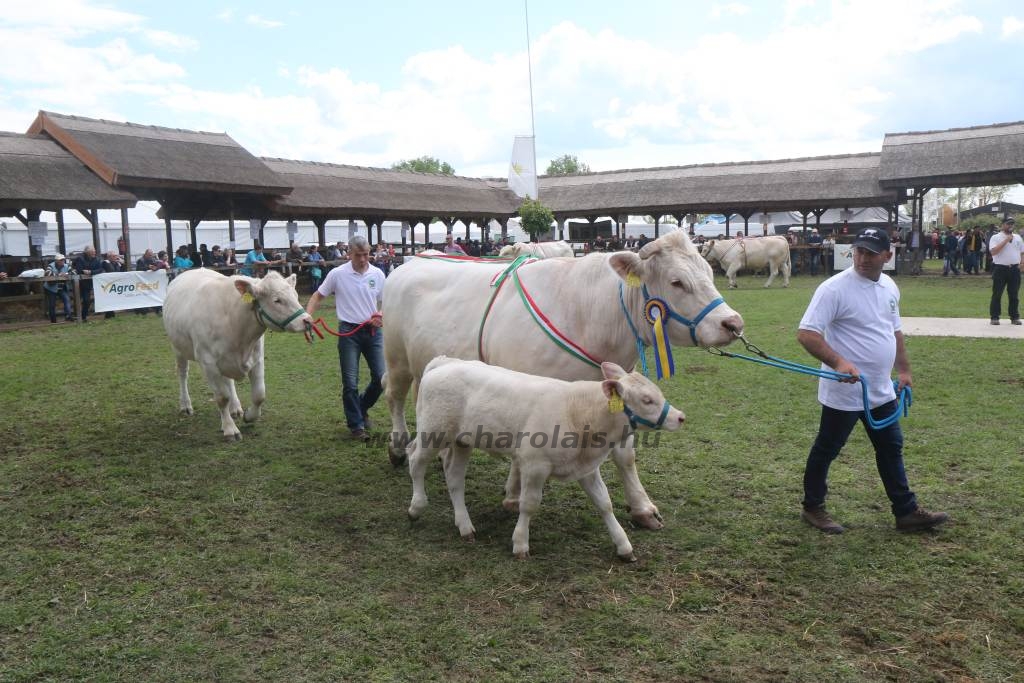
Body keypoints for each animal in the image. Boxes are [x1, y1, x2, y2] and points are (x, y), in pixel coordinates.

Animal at [159, 270, 309, 440]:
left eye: (296, 295)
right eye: (277, 300)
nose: (307, 320)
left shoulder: (257, 359)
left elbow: (259, 395)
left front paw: (250, 416)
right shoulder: (208, 363)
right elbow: (222, 398)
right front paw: (230, 429)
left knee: (228, 381)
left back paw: (235, 407)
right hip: (178, 349)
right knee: (183, 374)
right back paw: (185, 405)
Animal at [385, 229, 745, 528]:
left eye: (710, 272)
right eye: (676, 282)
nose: (733, 323)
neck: (588, 315)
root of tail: (414, 260)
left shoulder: (619, 396)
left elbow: (625, 455)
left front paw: (642, 508)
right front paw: (514, 494)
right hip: (396, 358)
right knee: (395, 398)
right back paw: (398, 447)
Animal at [403, 358, 684, 561]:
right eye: (647, 400)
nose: (680, 417)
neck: (577, 410)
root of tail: (443, 362)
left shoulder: (586, 468)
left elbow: (605, 504)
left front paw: (623, 545)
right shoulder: (534, 464)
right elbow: (528, 504)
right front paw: (520, 543)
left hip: (462, 440)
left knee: (454, 478)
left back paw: (465, 526)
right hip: (432, 431)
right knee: (415, 459)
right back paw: (416, 507)